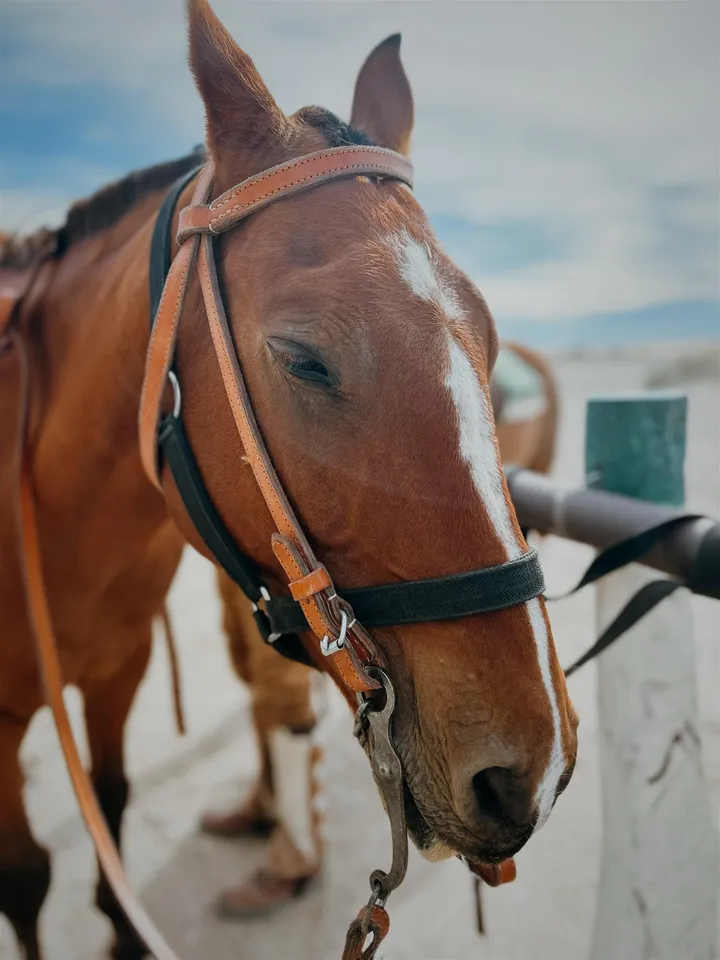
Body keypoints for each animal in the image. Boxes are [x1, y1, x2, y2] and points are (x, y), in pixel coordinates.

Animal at [0, 3, 577, 958]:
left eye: (492, 343)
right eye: (304, 359)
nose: (528, 770)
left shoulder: (119, 671)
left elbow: (110, 804)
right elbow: (26, 877)